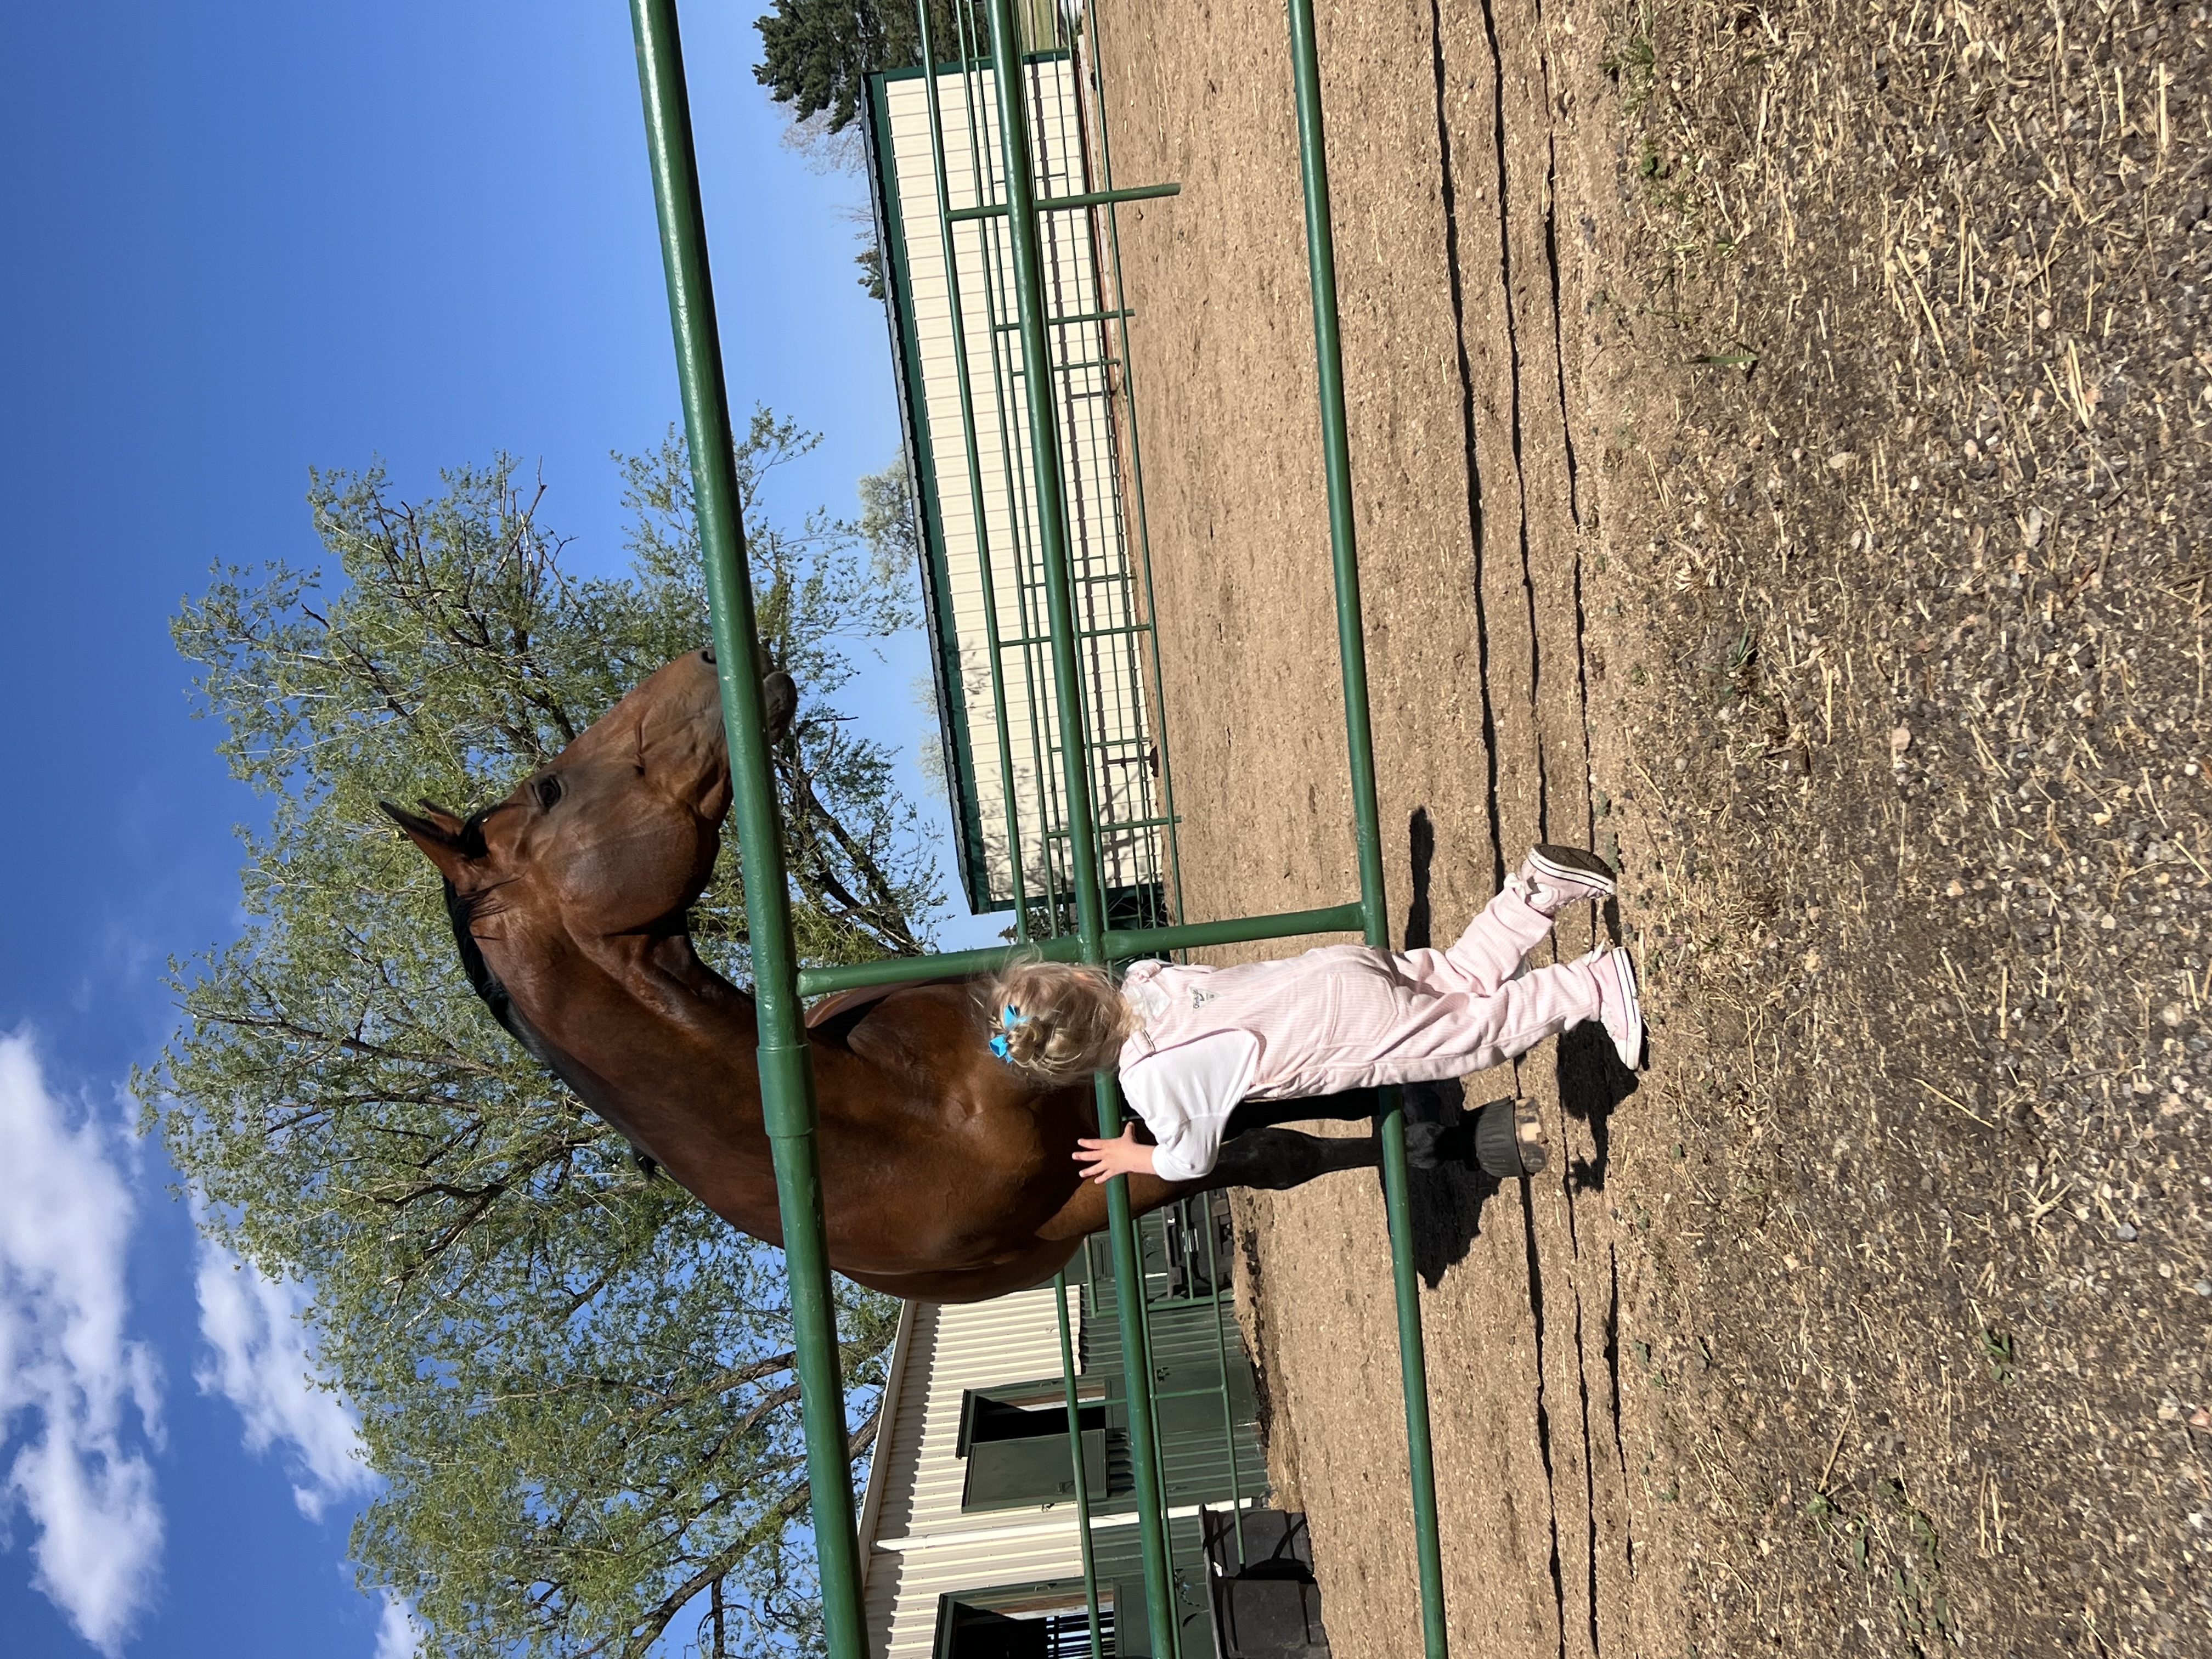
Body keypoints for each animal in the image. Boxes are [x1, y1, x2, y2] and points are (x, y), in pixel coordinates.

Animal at [383, 648, 1431, 1304]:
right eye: (551, 787)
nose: (710, 658)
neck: (894, 1119)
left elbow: (1273, 1112)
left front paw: (1416, 1122)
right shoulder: (1104, 1184)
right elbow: (1267, 1149)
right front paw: (1425, 1139)